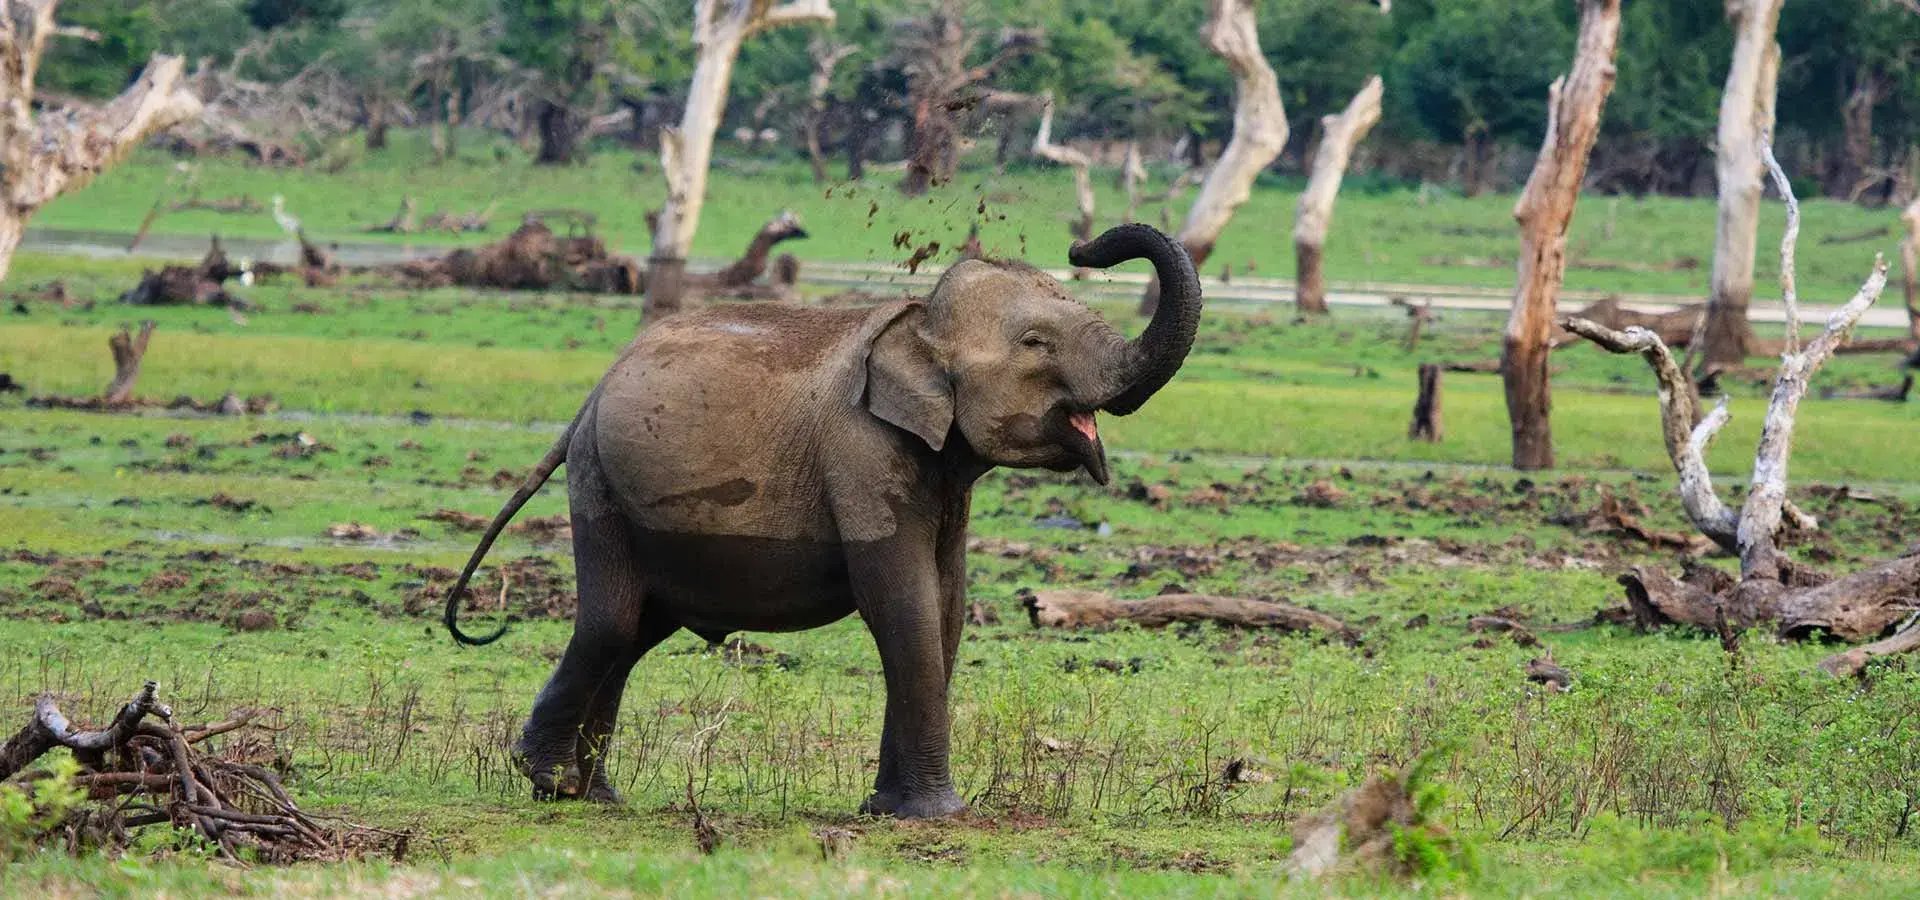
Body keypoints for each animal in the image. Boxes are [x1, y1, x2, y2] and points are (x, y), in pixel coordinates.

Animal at [441, 220, 1205, 817]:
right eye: (1037, 343)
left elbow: (946, 604)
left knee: (632, 634)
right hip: (598, 483)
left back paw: (595, 797)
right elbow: (901, 602)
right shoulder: (860, 451)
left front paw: (886, 810)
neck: (916, 321)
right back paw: (550, 781)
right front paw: (938, 815)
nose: (1082, 243)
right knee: (610, 623)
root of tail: (589, 397)